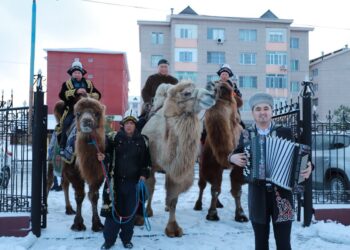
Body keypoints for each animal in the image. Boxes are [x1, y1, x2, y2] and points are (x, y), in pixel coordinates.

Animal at [141, 81, 215, 237]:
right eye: (187, 93)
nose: (211, 95)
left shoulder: (175, 170)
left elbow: (174, 199)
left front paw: (173, 228)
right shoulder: (149, 166)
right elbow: (149, 190)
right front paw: (143, 214)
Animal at [193, 81, 247, 222]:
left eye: (232, 95)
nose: (212, 88)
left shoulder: (240, 163)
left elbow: (237, 190)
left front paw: (241, 215)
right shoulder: (211, 162)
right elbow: (215, 188)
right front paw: (212, 214)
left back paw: (218, 203)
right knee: (202, 184)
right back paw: (198, 205)